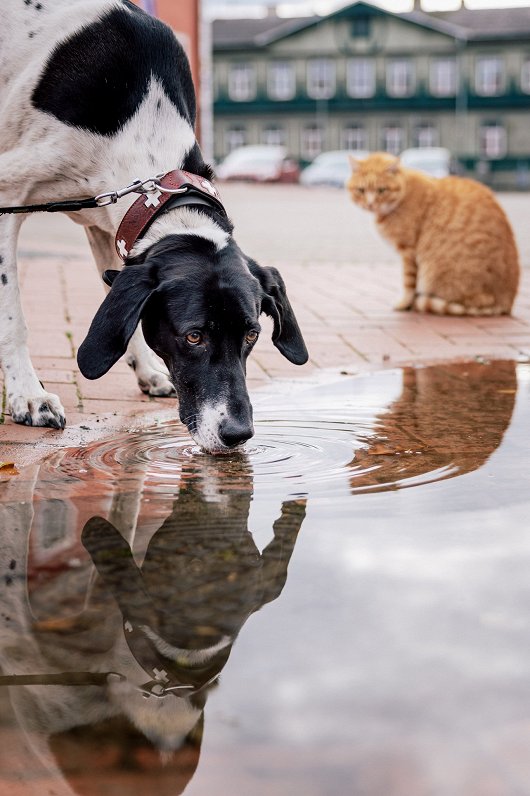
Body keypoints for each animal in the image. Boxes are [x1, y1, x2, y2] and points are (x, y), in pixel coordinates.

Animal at [1, 0, 306, 450]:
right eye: (194, 336)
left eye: (252, 335)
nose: (238, 434)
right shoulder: (8, 196)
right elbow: (13, 317)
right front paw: (28, 394)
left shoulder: (115, 226)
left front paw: (146, 372)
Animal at [344, 154, 516, 316]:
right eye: (361, 190)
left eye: (381, 190)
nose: (370, 204)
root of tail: (508, 301)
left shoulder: (408, 251)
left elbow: (408, 283)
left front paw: (404, 303)